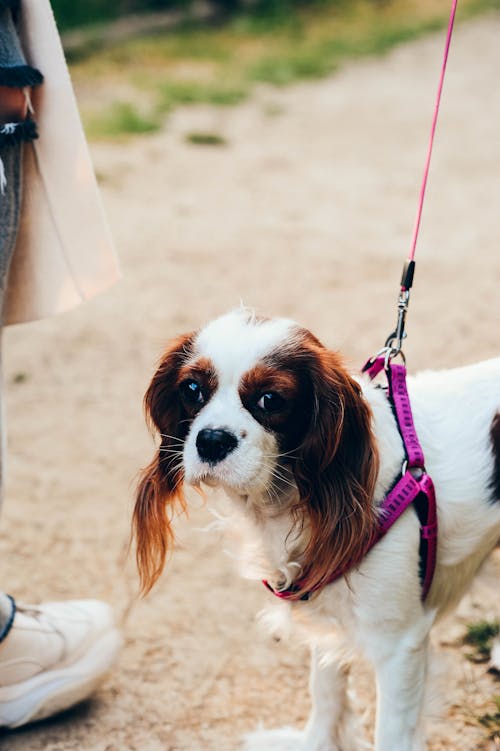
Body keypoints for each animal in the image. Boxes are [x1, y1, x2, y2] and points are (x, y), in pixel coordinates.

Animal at [134, 306, 500, 751]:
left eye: (270, 399)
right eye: (192, 389)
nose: (211, 440)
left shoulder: (401, 645)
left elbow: (390, 732)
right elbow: (324, 690)